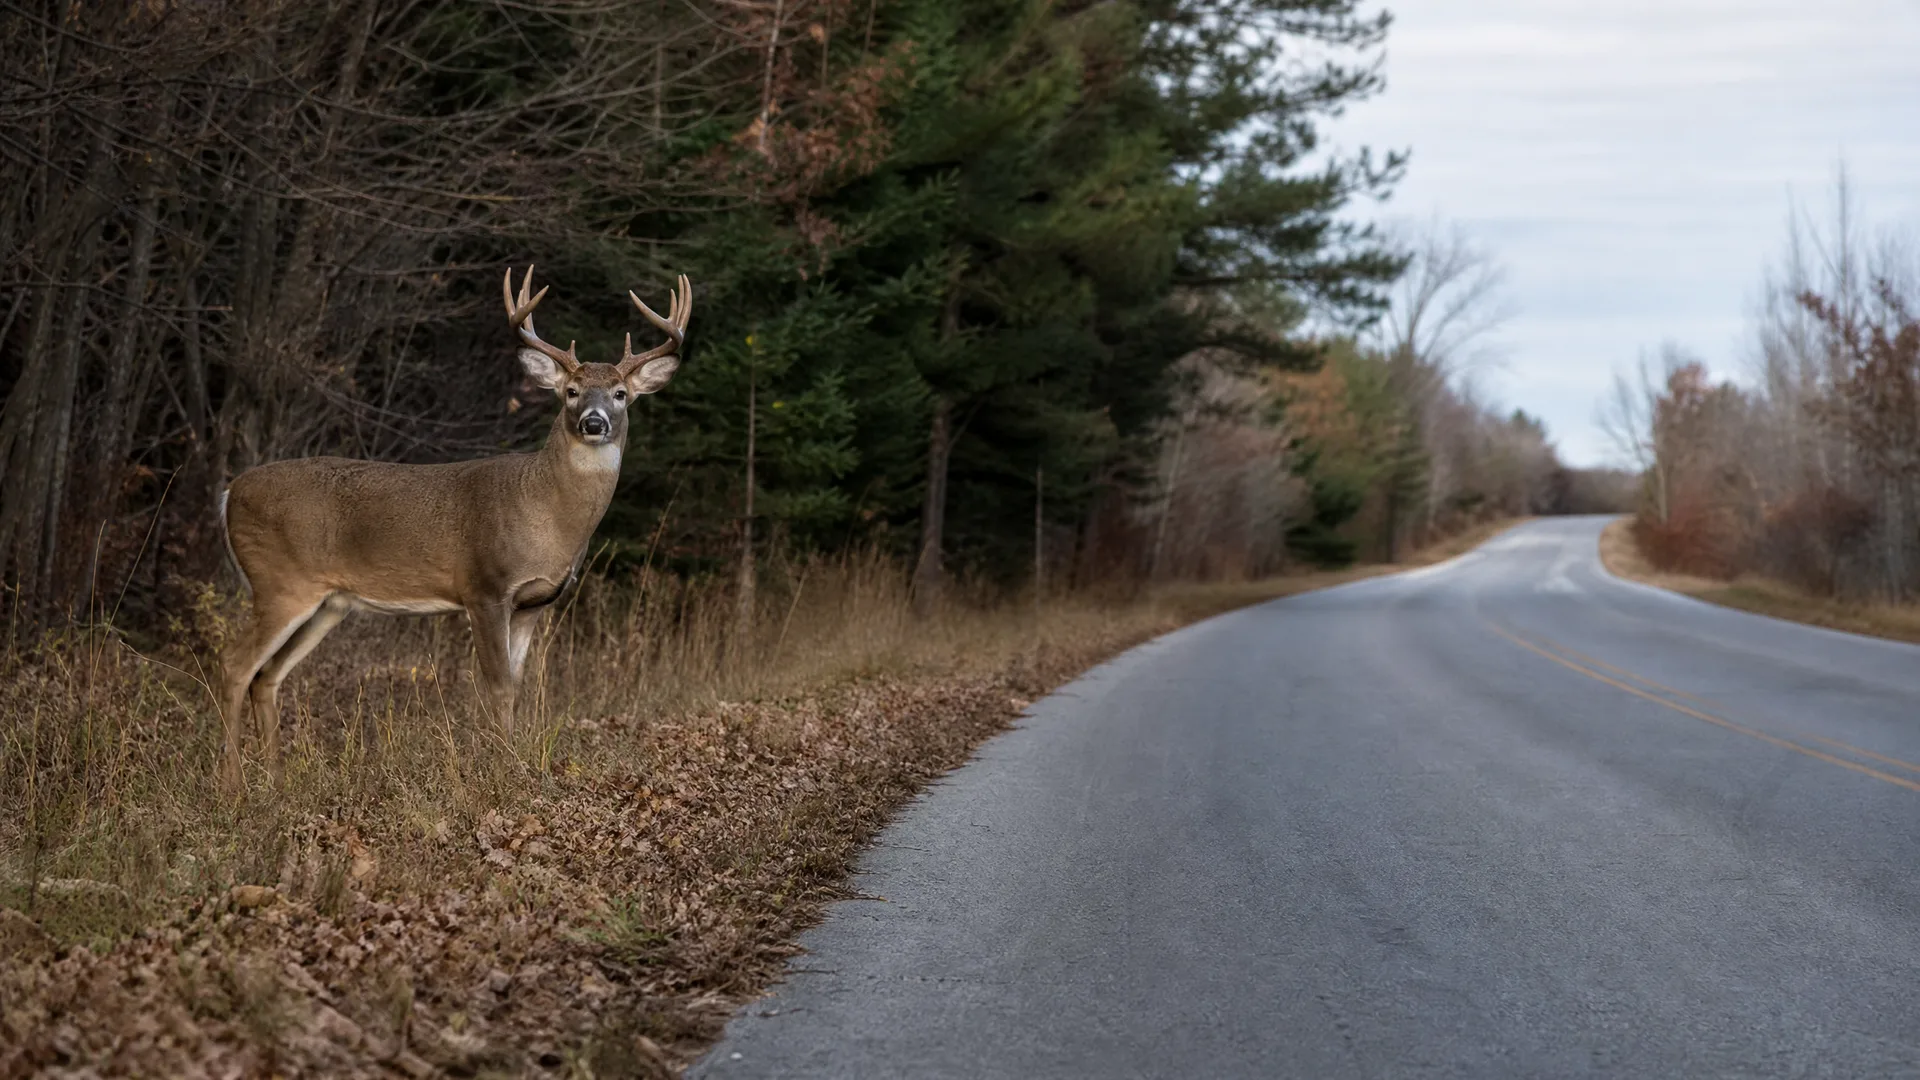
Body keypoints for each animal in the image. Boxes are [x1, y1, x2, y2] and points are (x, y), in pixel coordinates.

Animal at [217, 267, 692, 791]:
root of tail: (230, 492)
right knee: (235, 664)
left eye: (620, 394)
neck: (548, 514)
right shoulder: (483, 587)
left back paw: (276, 779)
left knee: (267, 675)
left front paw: (512, 759)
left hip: (326, 603)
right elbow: (498, 685)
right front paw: (505, 769)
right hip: (278, 581)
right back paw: (233, 785)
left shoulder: (534, 604)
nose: (593, 422)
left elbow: (516, 684)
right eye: (570, 391)